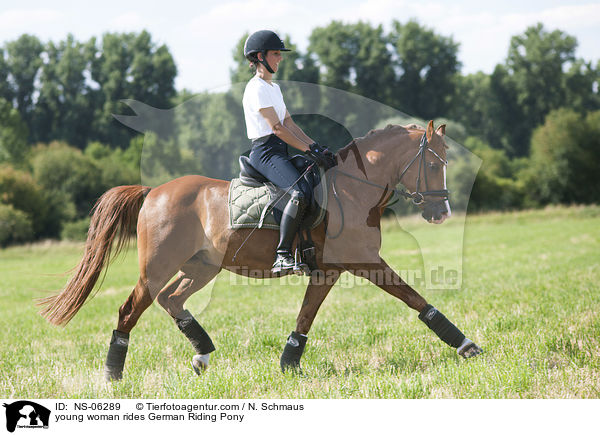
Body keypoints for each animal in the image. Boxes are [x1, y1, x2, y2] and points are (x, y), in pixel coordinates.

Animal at [39, 121, 482, 380]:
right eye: (434, 164)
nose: (441, 212)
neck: (355, 189)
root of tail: (153, 192)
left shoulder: (329, 270)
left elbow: (305, 317)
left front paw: (288, 364)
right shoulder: (365, 262)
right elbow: (415, 298)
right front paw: (465, 345)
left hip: (202, 266)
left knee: (172, 299)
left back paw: (202, 355)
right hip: (158, 266)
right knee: (131, 309)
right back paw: (113, 376)